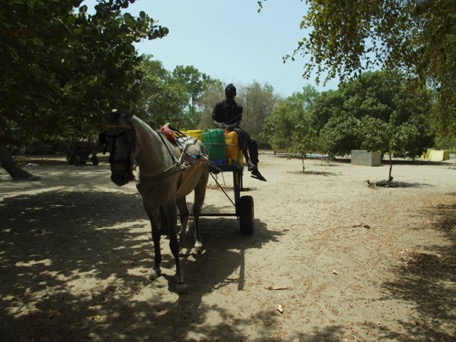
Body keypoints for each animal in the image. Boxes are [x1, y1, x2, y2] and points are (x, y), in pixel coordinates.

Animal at [102, 109, 209, 294]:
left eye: (127, 138)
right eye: (108, 138)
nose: (118, 177)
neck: (157, 163)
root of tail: (199, 144)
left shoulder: (167, 203)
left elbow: (172, 242)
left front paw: (180, 278)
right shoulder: (149, 204)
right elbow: (155, 235)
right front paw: (156, 267)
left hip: (200, 186)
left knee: (195, 212)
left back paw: (197, 243)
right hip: (179, 193)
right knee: (185, 214)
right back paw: (183, 245)